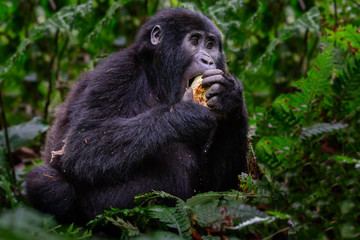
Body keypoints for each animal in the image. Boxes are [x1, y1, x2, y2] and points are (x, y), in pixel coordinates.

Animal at [26, 7, 249, 225]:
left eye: (210, 45)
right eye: (194, 41)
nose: (208, 60)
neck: (156, 79)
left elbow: (216, 186)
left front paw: (230, 96)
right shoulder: (116, 71)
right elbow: (79, 146)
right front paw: (184, 116)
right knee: (48, 183)